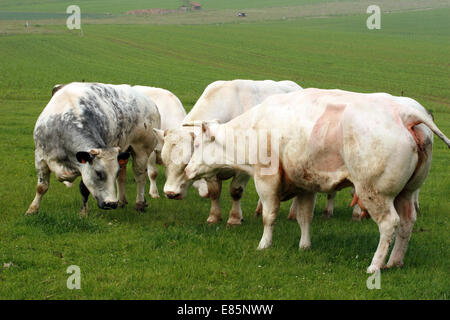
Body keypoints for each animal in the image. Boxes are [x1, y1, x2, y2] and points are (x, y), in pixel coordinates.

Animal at [25, 82, 161, 216]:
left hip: (141, 150)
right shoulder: (40, 157)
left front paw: (83, 212)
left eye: (114, 173)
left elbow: (84, 188)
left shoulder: (84, 167)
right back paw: (121, 201)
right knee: (123, 176)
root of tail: (150, 102)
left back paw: (139, 203)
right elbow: (41, 187)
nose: (111, 203)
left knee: (140, 176)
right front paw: (32, 209)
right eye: (98, 173)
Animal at [185, 88, 448, 272]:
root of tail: (405, 113)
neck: (254, 128)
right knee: (406, 223)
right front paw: (304, 246)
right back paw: (395, 261)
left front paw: (264, 245)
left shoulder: (266, 181)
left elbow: (269, 217)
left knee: (389, 224)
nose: (187, 170)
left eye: (196, 145)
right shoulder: (305, 184)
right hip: (407, 192)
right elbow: (304, 217)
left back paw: (375, 265)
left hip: (374, 192)